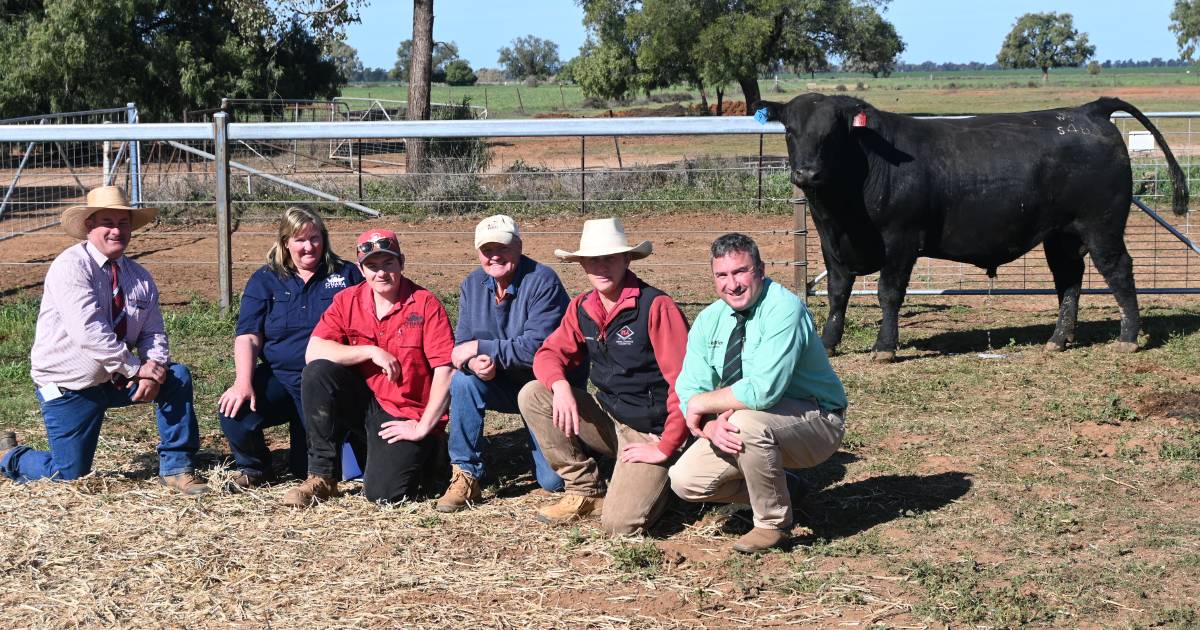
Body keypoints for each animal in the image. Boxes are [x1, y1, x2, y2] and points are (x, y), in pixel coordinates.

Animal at [758, 93, 1190, 357]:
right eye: (790, 131)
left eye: (832, 133)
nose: (806, 173)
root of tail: (1088, 110)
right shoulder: (831, 244)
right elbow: (837, 294)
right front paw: (829, 343)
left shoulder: (900, 241)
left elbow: (888, 294)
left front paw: (884, 347)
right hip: (1061, 235)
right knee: (1069, 280)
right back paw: (1058, 339)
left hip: (1102, 227)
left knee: (1119, 271)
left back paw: (1128, 338)